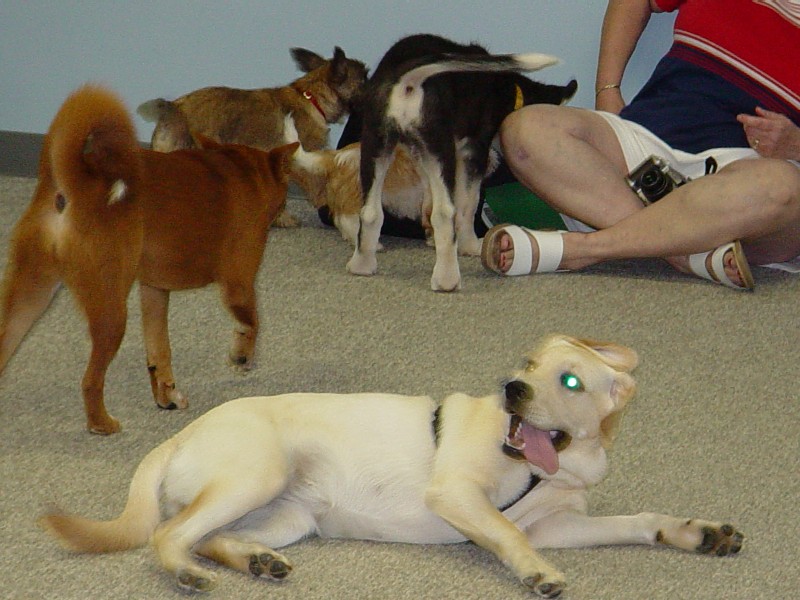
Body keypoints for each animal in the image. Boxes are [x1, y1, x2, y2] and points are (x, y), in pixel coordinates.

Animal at [0, 84, 298, 434]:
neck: (242, 171)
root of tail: (71, 185)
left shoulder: (154, 291)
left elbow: (159, 351)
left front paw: (166, 395)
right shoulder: (238, 282)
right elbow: (251, 321)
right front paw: (242, 356)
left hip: (31, 297)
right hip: (110, 312)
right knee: (90, 381)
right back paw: (102, 423)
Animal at [39, 332, 744, 596]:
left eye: (568, 380)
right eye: (528, 364)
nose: (512, 388)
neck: (557, 466)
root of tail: (179, 434)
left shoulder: (560, 523)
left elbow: (636, 521)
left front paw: (698, 533)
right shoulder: (458, 496)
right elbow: (508, 531)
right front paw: (537, 573)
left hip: (289, 516)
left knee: (210, 537)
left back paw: (256, 563)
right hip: (257, 475)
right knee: (167, 534)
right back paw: (187, 573)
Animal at [346, 34, 580, 292]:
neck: (508, 89)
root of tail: (405, 81)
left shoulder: (422, 154)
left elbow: (429, 198)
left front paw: (431, 237)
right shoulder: (474, 151)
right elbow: (468, 203)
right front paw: (468, 245)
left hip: (375, 145)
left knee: (370, 212)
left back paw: (362, 264)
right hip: (441, 145)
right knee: (445, 213)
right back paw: (447, 278)